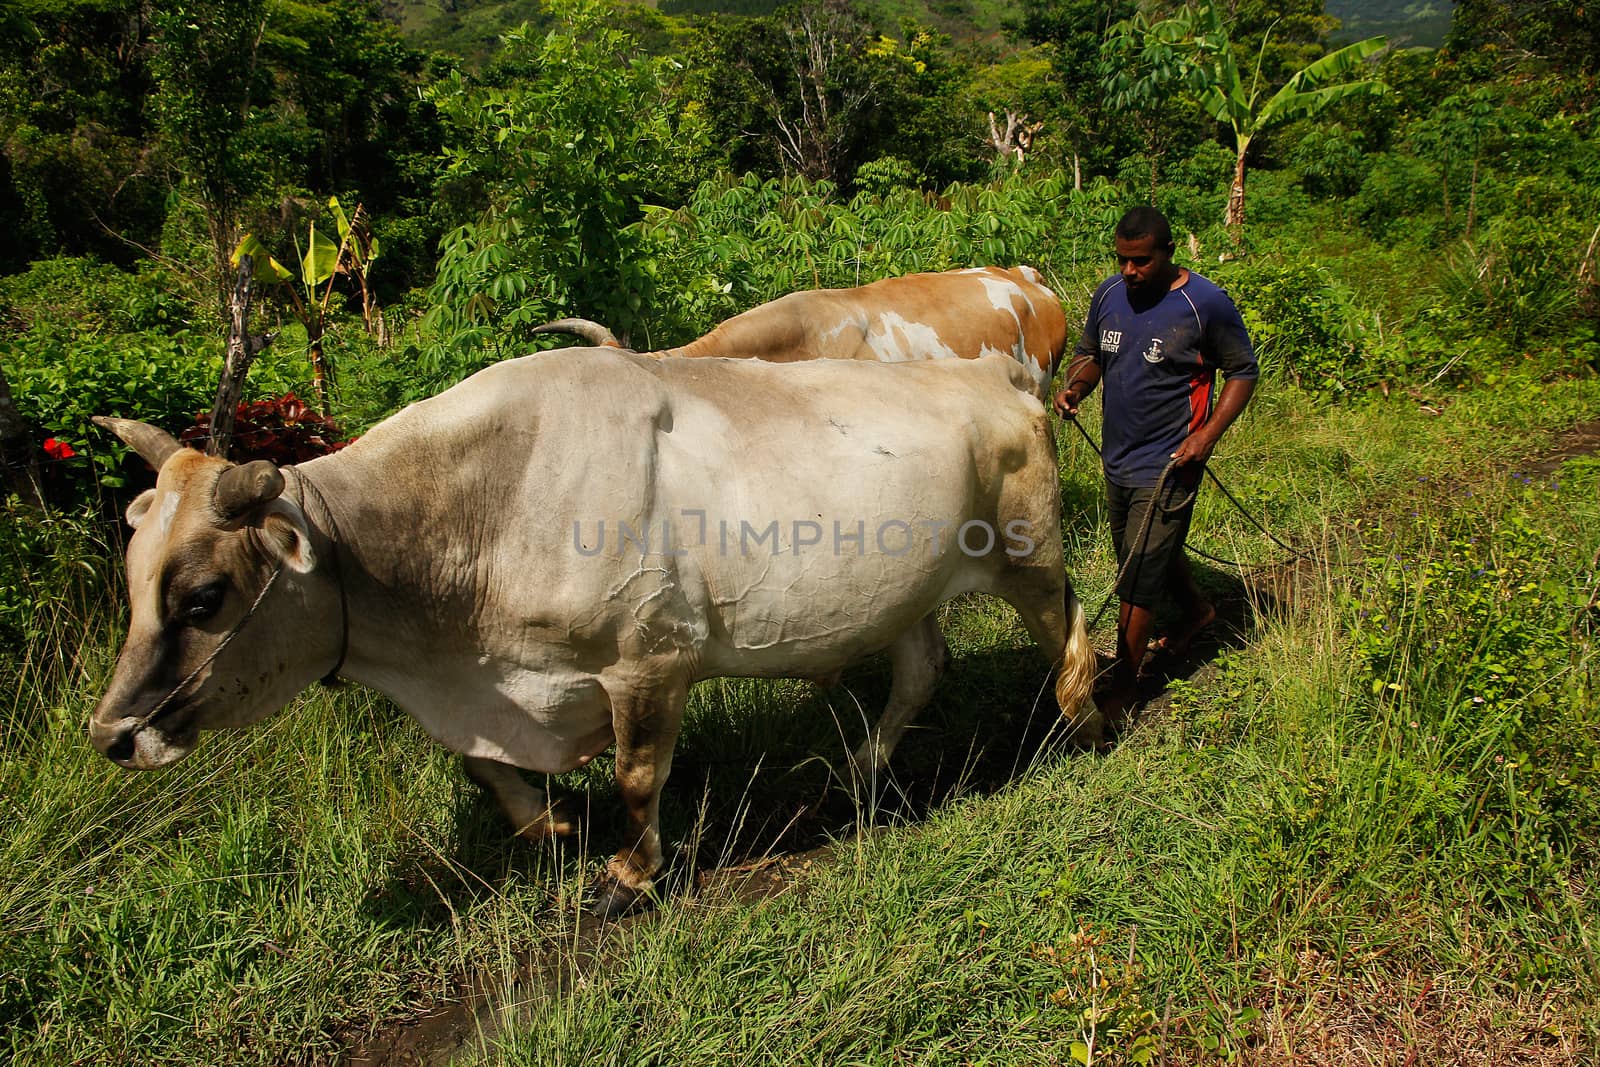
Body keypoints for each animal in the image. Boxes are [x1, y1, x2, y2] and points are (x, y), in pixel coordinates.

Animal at [87, 347, 1100, 915]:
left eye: (203, 597)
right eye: (133, 579)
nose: (111, 734)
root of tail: (992, 368)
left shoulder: (649, 659)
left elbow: (638, 774)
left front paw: (626, 874)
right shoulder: (506, 691)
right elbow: (486, 768)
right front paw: (551, 823)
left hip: (1027, 550)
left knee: (1068, 630)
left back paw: (1085, 721)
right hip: (905, 591)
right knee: (923, 667)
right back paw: (858, 770)